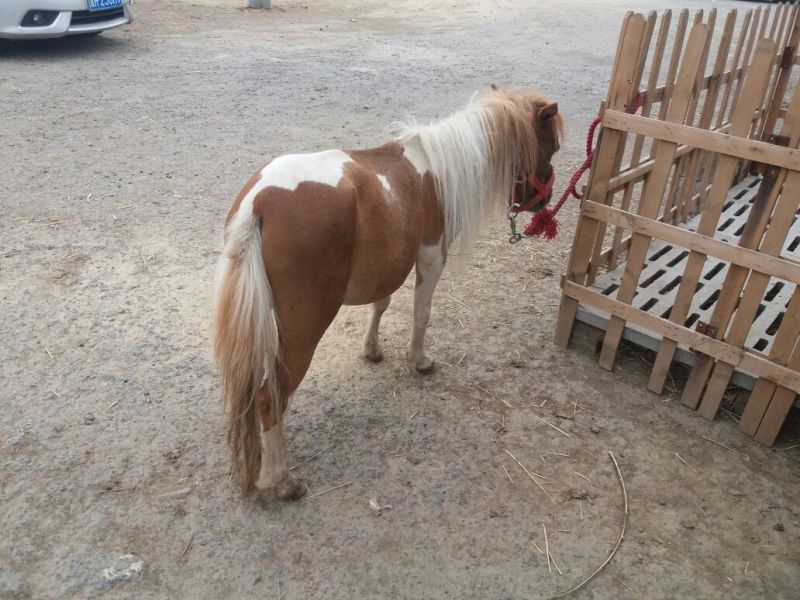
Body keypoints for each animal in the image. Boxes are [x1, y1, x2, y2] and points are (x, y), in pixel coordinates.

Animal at [213, 86, 562, 500]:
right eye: (553, 146)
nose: (543, 201)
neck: (434, 168)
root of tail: (260, 203)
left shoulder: (388, 266)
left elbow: (381, 303)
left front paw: (373, 350)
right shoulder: (431, 256)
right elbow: (421, 314)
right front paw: (418, 360)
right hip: (303, 329)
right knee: (271, 398)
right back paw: (281, 480)